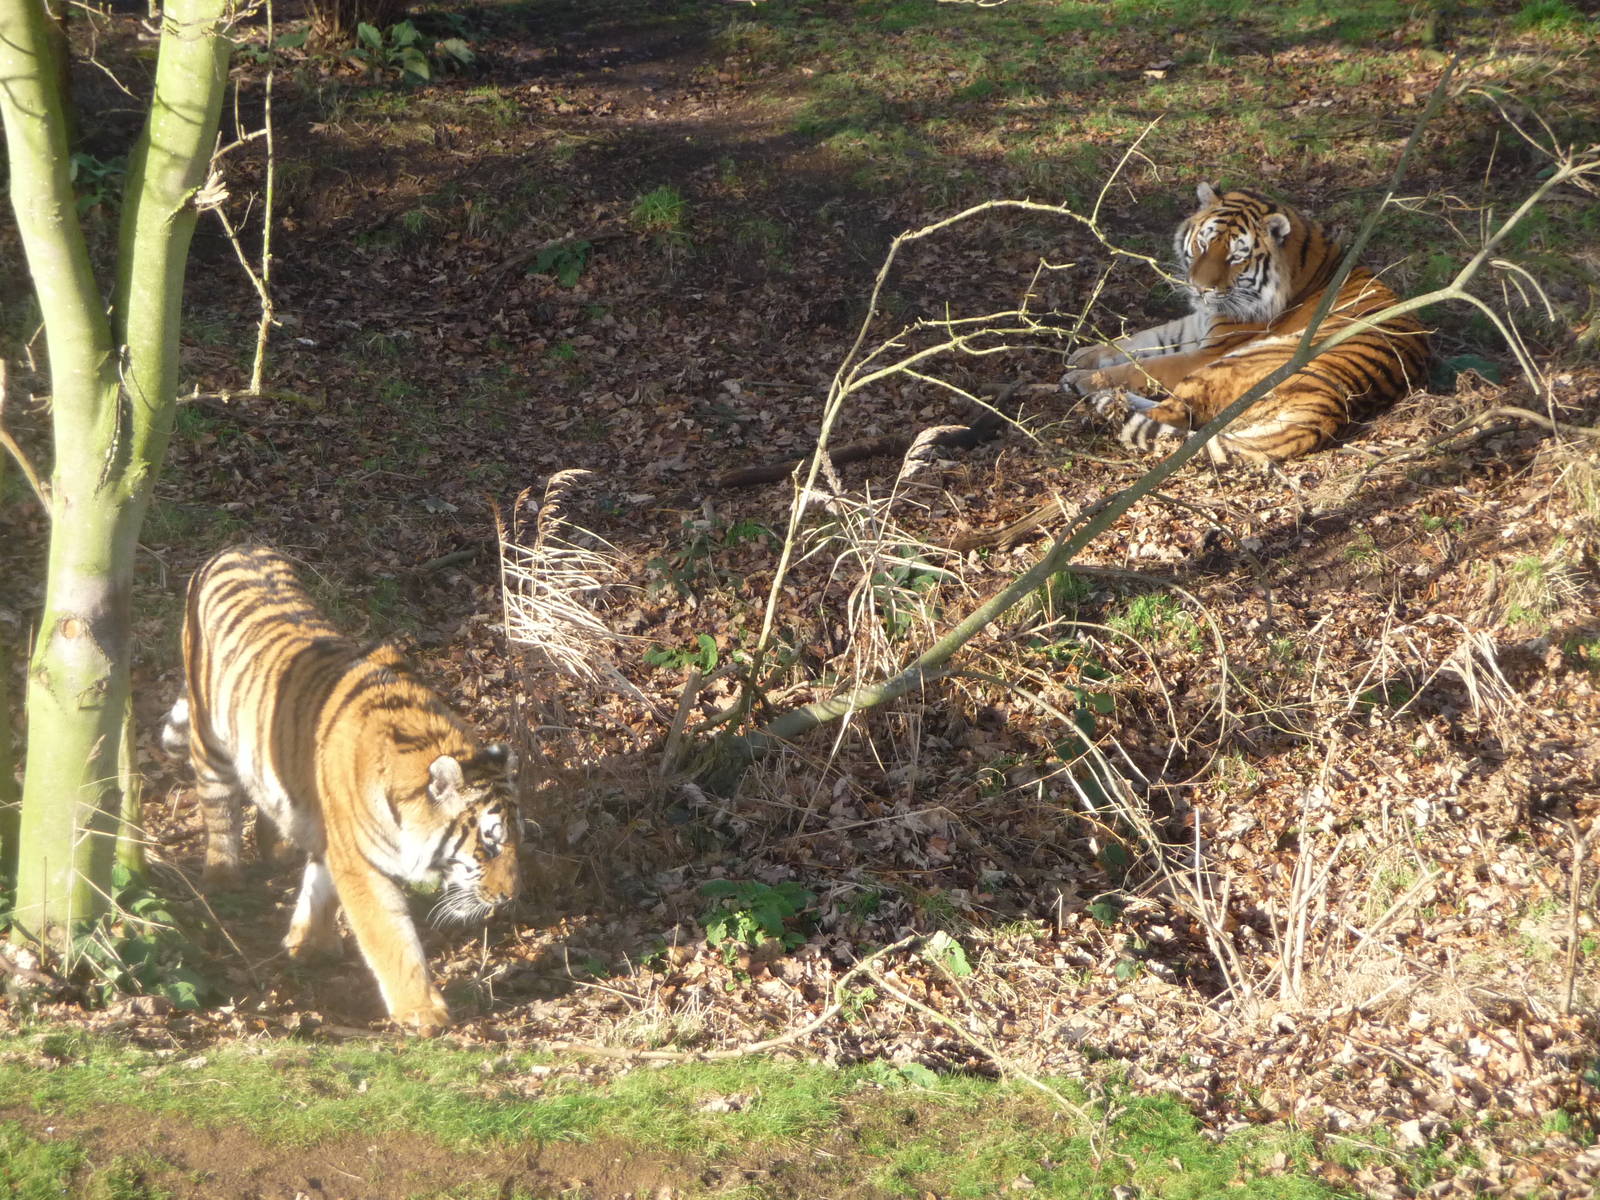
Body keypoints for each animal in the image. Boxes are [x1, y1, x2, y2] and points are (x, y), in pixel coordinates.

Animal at [161, 544, 522, 1034]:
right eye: (487, 846)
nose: (510, 897)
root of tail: (236, 546)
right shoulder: (360, 861)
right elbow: (389, 935)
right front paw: (422, 1012)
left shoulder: (334, 834)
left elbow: (319, 882)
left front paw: (306, 942)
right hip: (210, 738)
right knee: (220, 811)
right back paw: (222, 878)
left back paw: (276, 850)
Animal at [1061, 182, 1431, 463]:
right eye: (1203, 244)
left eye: (1236, 256)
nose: (1199, 287)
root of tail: (1329, 410)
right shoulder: (1197, 326)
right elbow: (1141, 340)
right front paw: (1083, 356)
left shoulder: (1210, 351)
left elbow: (1143, 366)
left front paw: (1080, 378)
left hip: (1229, 364)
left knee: (1171, 415)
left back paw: (1102, 403)